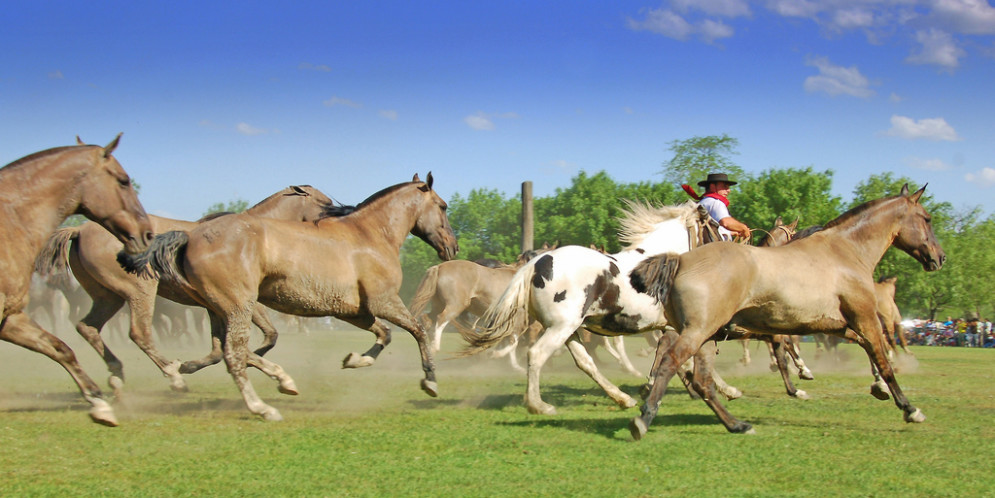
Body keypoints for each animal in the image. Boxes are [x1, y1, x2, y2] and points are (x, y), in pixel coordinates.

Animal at [35, 185, 338, 394]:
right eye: (325, 202)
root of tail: (79, 231)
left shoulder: (214, 307)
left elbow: (222, 346)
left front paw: (201, 364)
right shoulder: (242, 302)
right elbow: (261, 336)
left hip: (106, 296)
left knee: (87, 327)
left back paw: (117, 372)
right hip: (139, 290)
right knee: (139, 333)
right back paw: (173, 375)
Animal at [121, 173, 460, 422]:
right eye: (443, 206)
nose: (452, 247)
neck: (370, 235)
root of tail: (189, 236)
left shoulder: (353, 311)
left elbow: (385, 334)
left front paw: (354, 360)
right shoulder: (384, 301)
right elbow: (418, 330)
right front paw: (430, 381)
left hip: (216, 309)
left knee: (223, 350)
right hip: (238, 307)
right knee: (233, 355)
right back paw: (262, 407)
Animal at [462, 200, 712, 414]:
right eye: (713, 225)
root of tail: (534, 266)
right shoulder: (676, 326)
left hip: (568, 330)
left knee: (584, 362)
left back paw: (622, 398)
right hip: (561, 328)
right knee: (536, 353)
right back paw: (538, 405)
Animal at [636, 185, 944, 438]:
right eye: (927, 218)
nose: (939, 258)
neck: (845, 252)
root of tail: (680, 261)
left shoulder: (836, 325)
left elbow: (866, 351)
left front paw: (877, 387)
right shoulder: (865, 319)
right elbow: (883, 360)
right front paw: (909, 408)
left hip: (704, 337)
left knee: (700, 380)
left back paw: (736, 424)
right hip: (697, 333)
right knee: (671, 363)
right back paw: (644, 417)